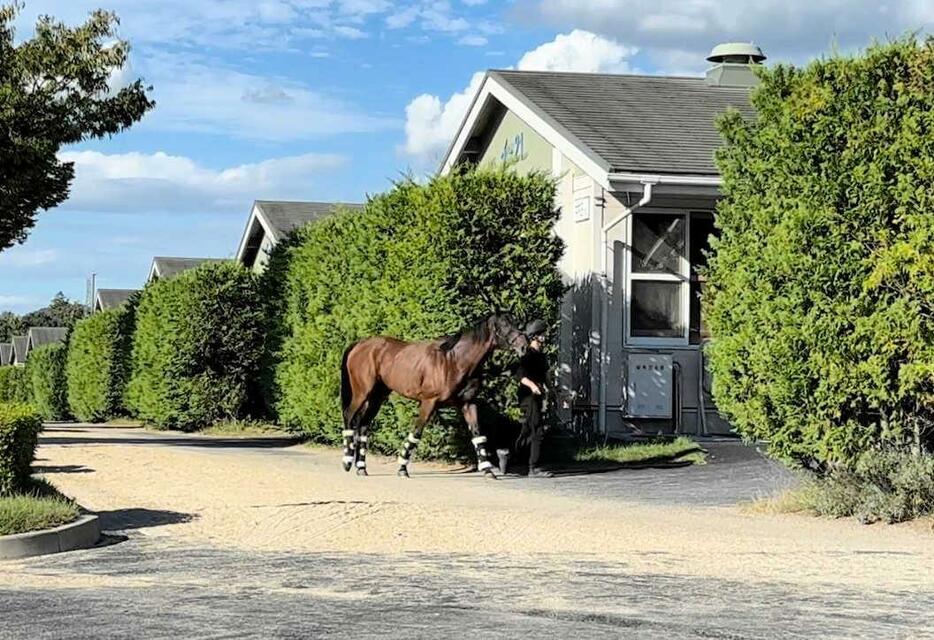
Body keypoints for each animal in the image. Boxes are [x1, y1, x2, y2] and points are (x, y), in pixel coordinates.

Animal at [340, 316, 532, 480]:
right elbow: (416, 433)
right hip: (362, 392)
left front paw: (487, 471)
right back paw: (347, 461)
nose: (524, 346)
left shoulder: (468, 403)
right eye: (504, 325)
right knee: (349, 415)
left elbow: (478, 435)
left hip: (377, 396)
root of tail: (360, 344)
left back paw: (361, 467)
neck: (454, 361)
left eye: (515, 322)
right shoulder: (428, 402)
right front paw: (402, 468)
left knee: (363, 424)